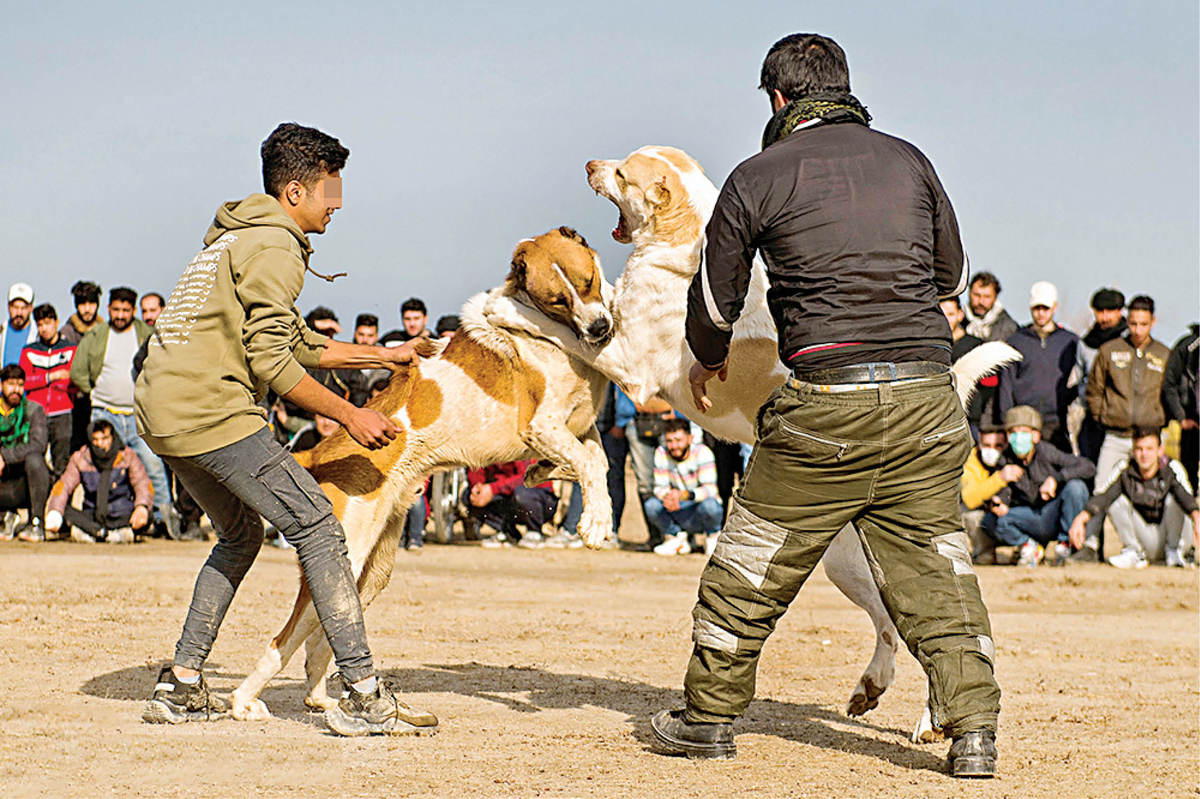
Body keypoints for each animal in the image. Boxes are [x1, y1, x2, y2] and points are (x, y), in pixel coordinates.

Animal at [228, 226, 614, 719]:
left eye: (589, 281)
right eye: (557, 300)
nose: (601, 328)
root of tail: (316, 452)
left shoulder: (580, 427)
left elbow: (593, 461)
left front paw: (547, 476)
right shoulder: (540, 425)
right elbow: (587, 464)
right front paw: (595, 523)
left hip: (372, 570)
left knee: (321, 636)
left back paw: (321, 698)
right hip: (346, 556)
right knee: (284, 639)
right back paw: (243, 702)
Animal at [482, 144, 1017, 739]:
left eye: (622, 172)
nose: (590, 166)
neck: (682, 244)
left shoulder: (628, 364)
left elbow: (564, 329)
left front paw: (504, 307)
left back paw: (929, 720)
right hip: (848, 563)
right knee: (894, 627)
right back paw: (871, 689)